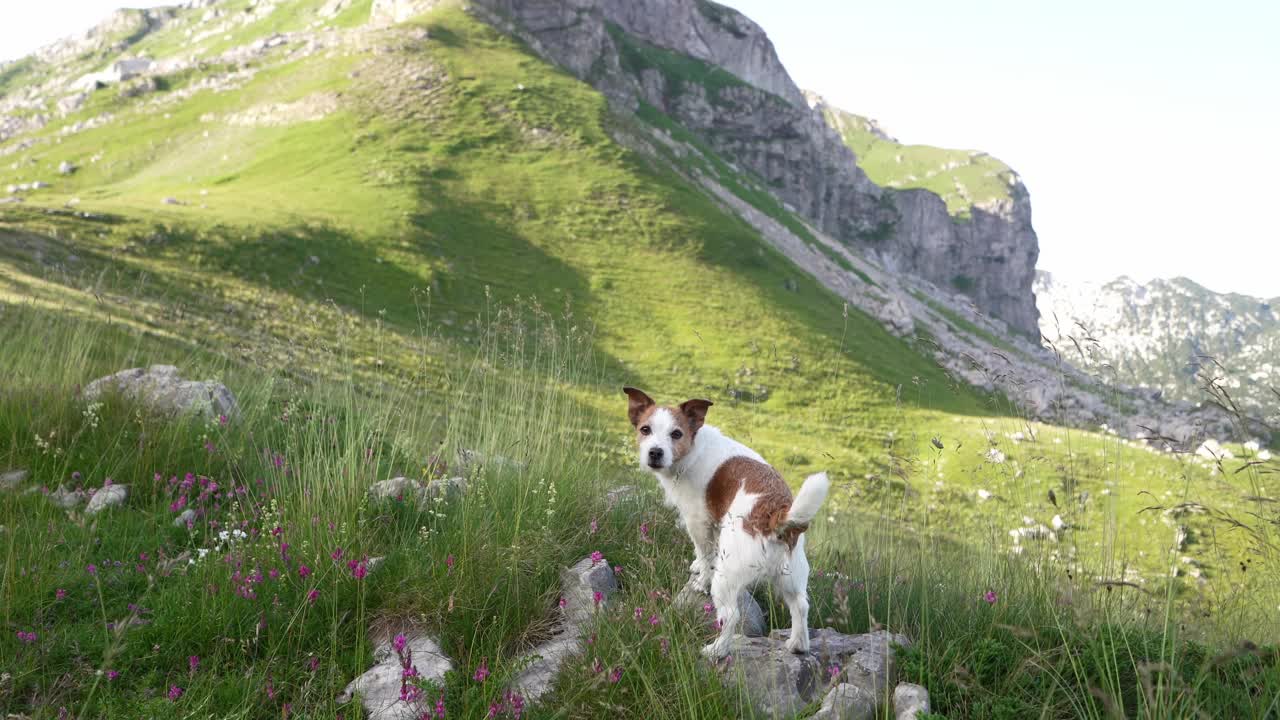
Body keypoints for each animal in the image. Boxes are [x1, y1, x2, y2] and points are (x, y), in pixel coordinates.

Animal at [619, 386, 829, 655]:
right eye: (645, 429)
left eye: (676, 434)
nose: (655, 452)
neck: (694, 449)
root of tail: (776, 515)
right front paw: (697, 566)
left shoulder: (698, 522)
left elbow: (705, 553)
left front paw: (701, 579)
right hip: (791, 575)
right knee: (800, 605)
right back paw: (798, 644)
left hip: (727, 576)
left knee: (731, 615)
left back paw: (716, 650)